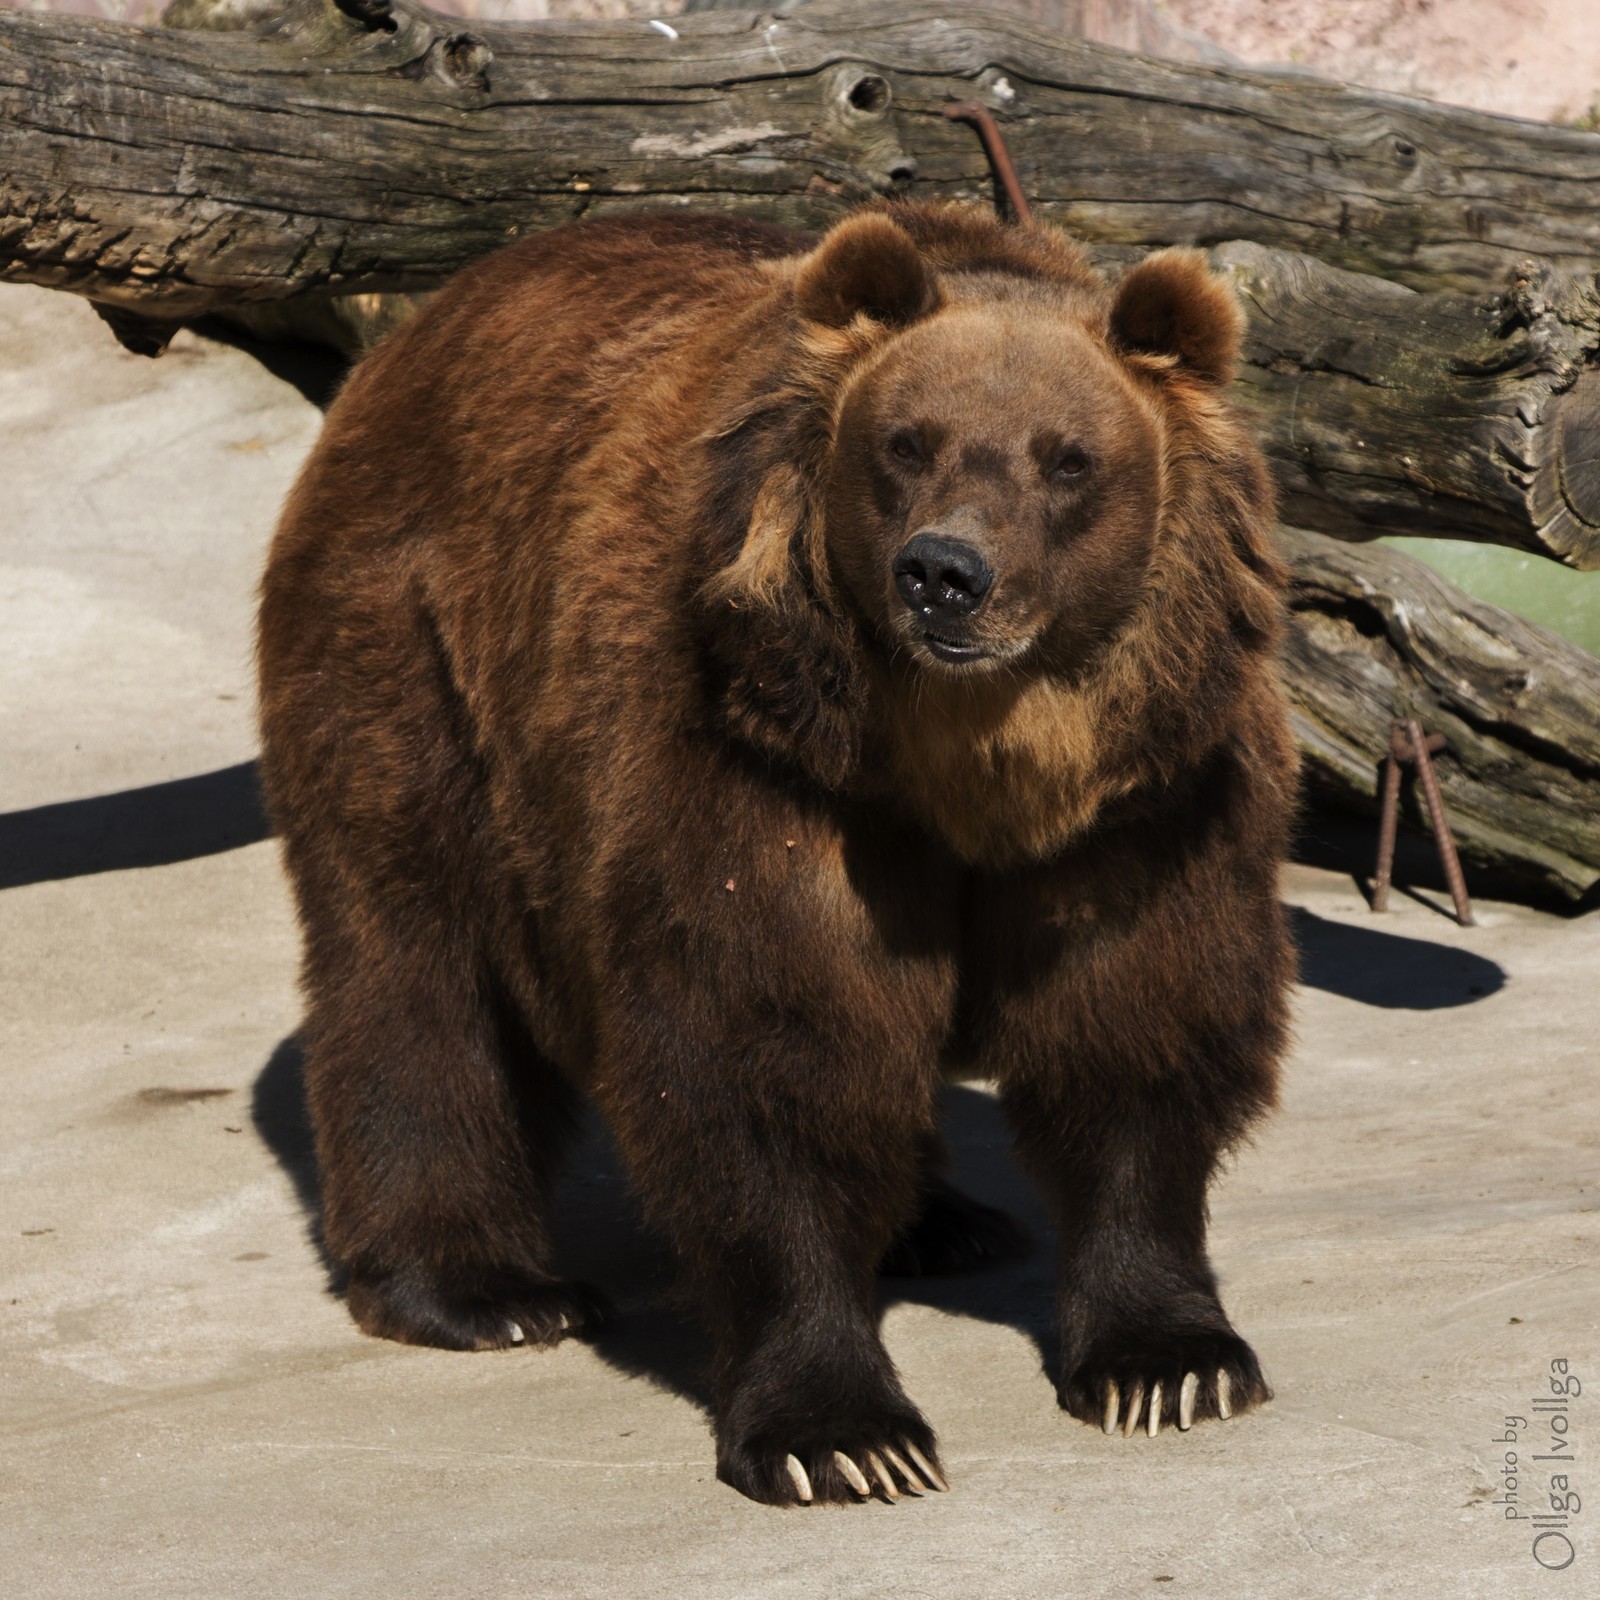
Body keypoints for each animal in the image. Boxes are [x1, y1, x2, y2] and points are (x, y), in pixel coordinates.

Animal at [256, 193, 1292, 1504]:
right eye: (906, 442)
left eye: (1066, 458)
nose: (943, 573)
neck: (969, 763)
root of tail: (427, 318)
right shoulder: (762, 764)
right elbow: (767, 1049)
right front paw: (842, 1433)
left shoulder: (1147, 800)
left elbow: (1134, 1025)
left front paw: (1168, 1362)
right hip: (414, 650)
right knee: (414, 958)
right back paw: (481, 1287)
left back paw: (938, 1220)